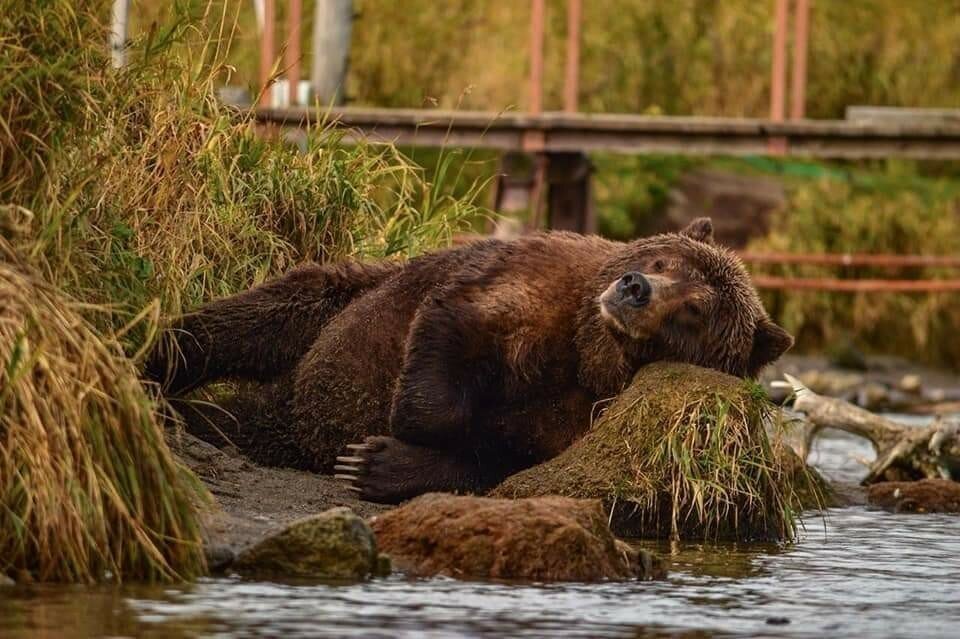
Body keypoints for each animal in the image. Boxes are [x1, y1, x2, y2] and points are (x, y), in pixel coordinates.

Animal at [146, 218, 793, 504]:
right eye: (663, 261)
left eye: (695, 309)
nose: (634, 287)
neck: (592, 355)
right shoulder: (530, 289)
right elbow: (453, 336)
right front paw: (404, 424)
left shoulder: (573, 419)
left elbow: (499, 460)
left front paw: (374, 460)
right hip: (340, 297)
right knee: (254, 319)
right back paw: (154, 361)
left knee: (245, 418)